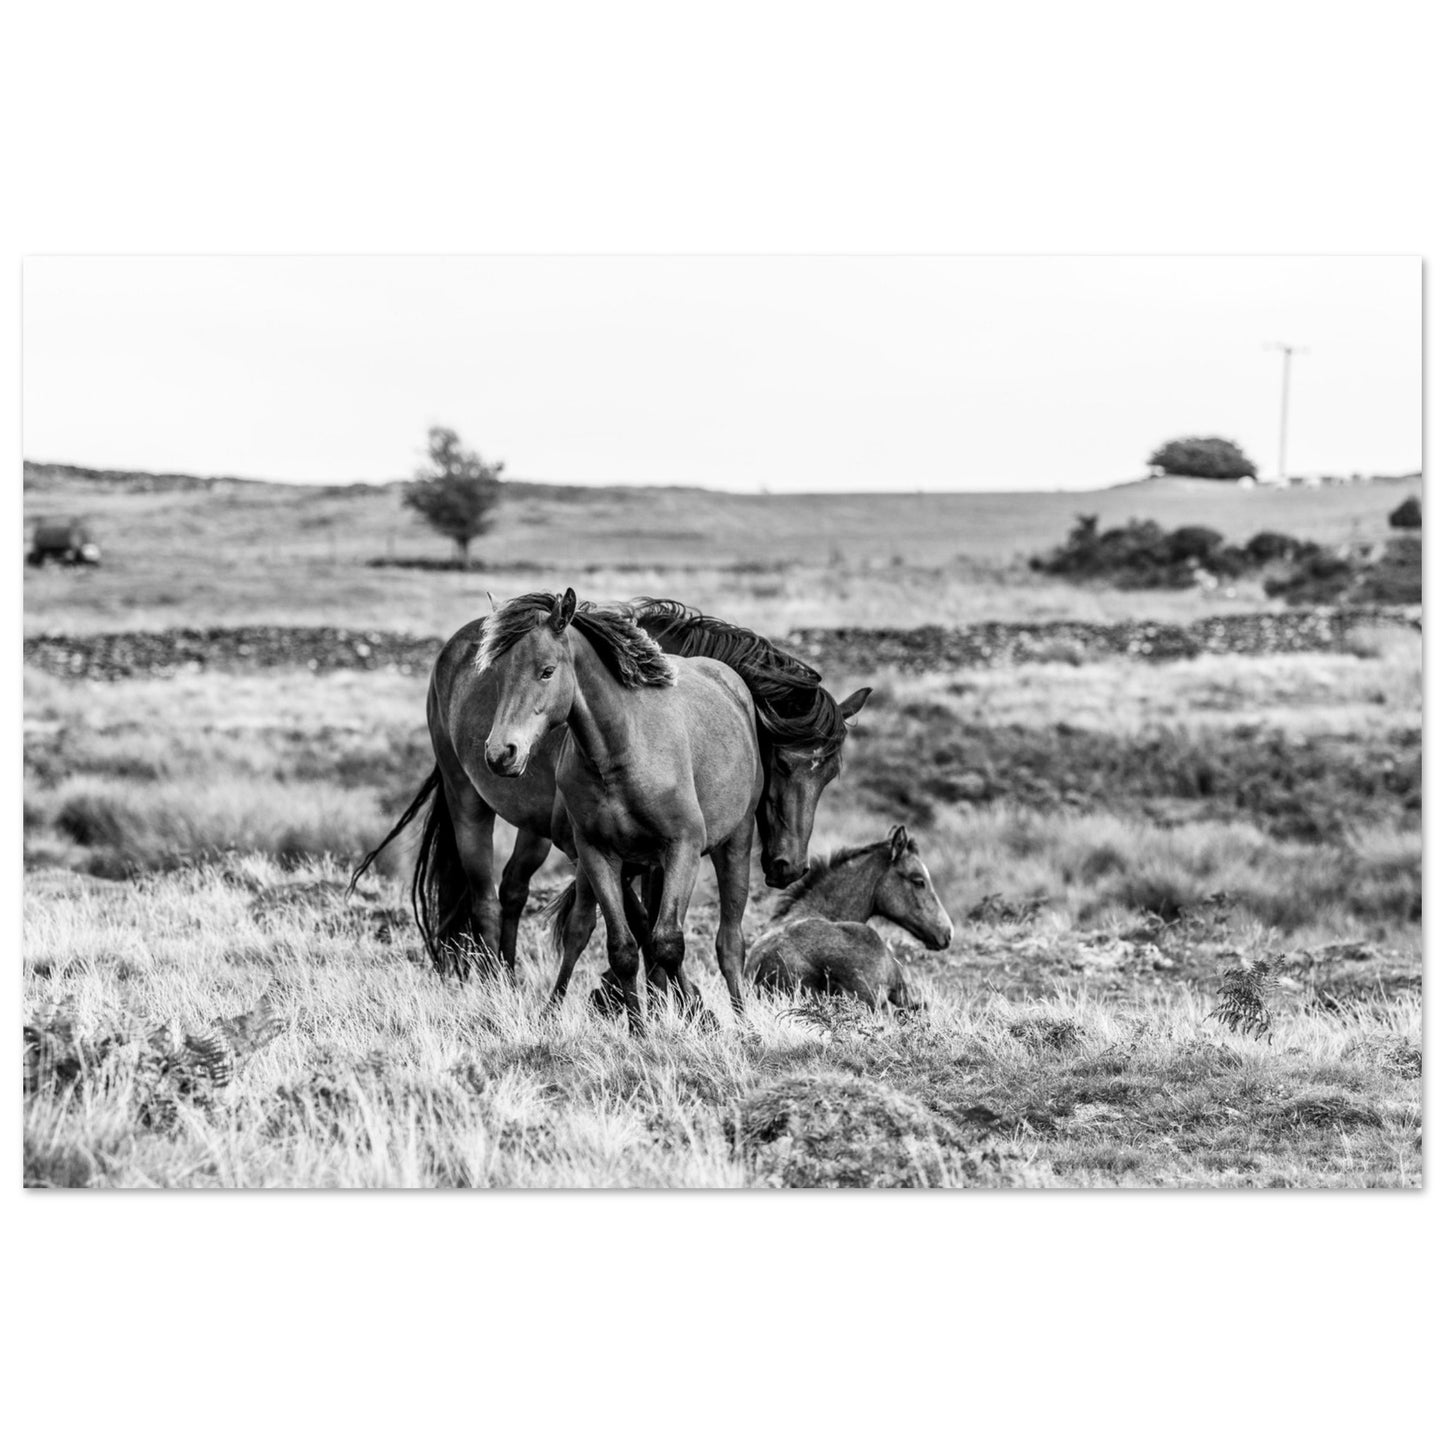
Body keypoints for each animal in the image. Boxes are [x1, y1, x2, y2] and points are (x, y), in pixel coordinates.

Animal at [349, 592, 867, 988]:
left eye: (830, 774)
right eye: (779, 761)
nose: (788, 867)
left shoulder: (650, 849)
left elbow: (650, 923)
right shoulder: (594, 848)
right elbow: (636, 925)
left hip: (534, 828)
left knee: (513, 887)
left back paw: (512, 973)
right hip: (468, 803)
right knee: (484, 899)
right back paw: (498, 982)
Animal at [479, 592, 762, 1034]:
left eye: (546, 672)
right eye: (498, 675)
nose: (500, 754)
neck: (619, 752)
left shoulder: (682, 848)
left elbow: (668, 942)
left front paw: (697, 1017)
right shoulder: (597, 854)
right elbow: (624, 947)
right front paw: (639, 1029)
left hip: (735, 842)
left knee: (729, 942)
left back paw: (743, 1023)